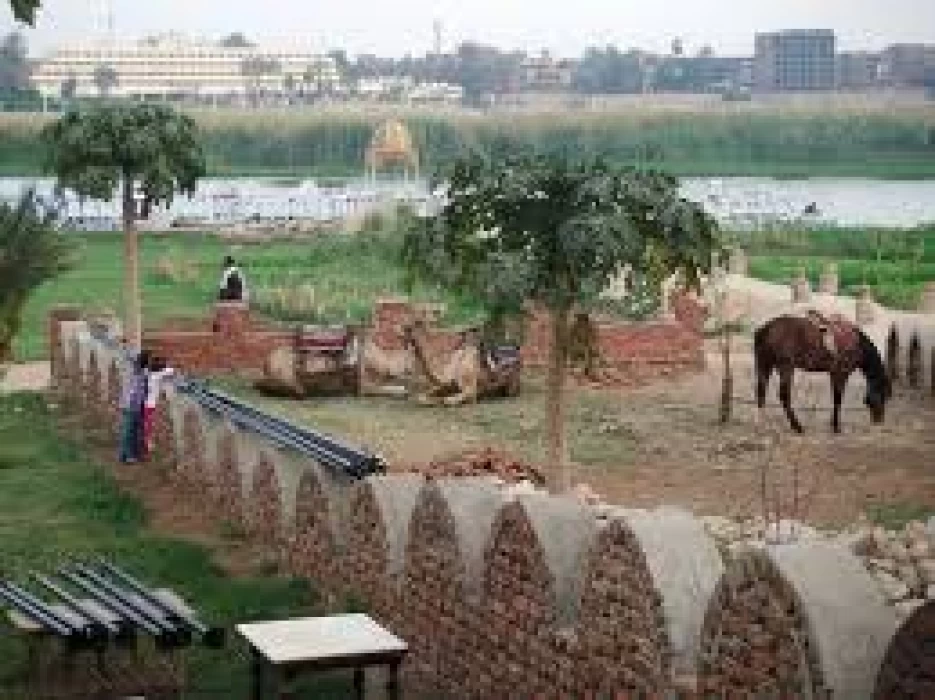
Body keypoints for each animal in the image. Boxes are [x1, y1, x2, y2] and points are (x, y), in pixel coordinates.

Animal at [752, 314, 892, 432]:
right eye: (882, 395)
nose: (879, 420)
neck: (858, 346)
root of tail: (766, 329)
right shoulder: (841, 373)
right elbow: (838, 399)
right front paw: (836, 427)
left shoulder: (833, 374)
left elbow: (835, 398)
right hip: (786, 367)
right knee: (783, 395)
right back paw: (797, 426)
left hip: (765, 364)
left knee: (761, 392)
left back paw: (762, 424)